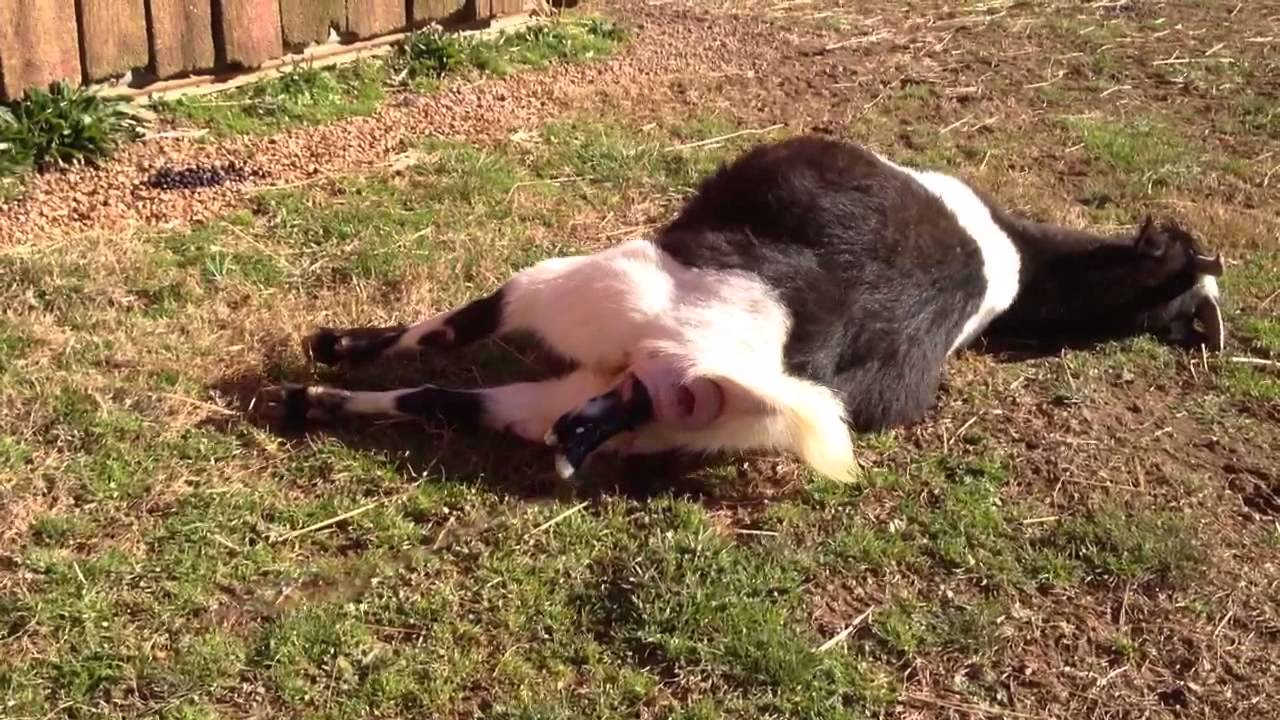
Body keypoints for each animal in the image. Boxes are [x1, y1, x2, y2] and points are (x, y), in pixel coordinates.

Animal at [264, 135, 1226, 482]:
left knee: (459, 335)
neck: (1011, 259)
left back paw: (322, 362)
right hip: (598, 401)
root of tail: (739, 360)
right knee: (460, 401)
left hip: (584, 283)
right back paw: (313, 403)